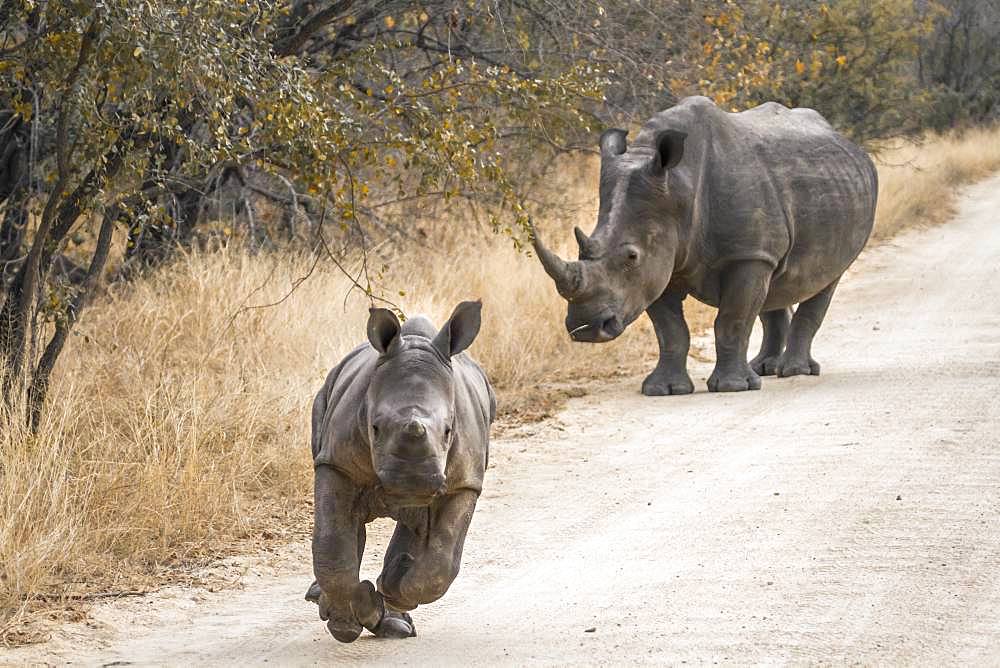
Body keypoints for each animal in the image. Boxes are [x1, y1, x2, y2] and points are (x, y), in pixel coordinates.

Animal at [302, 302, 494, 640]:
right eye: (375, 428)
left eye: (448, 430)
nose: (412, 481)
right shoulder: (335, 462)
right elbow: (331, 542)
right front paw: (348, 622)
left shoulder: (464, 482)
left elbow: (442, 560)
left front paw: (392, 590)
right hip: (326, 396)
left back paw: (393, 616)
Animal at [532, 96, 876, 394]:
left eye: (631, 256)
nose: (586, 328)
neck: (677, 186)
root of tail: (848, 143)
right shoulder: (660, 265)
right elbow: (670, 331)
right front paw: (663, 390)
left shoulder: (745, 256)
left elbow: (732, 320)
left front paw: (732, 387)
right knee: (776, 284)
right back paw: (765, 368)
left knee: (826, 279)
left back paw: (794, 372)